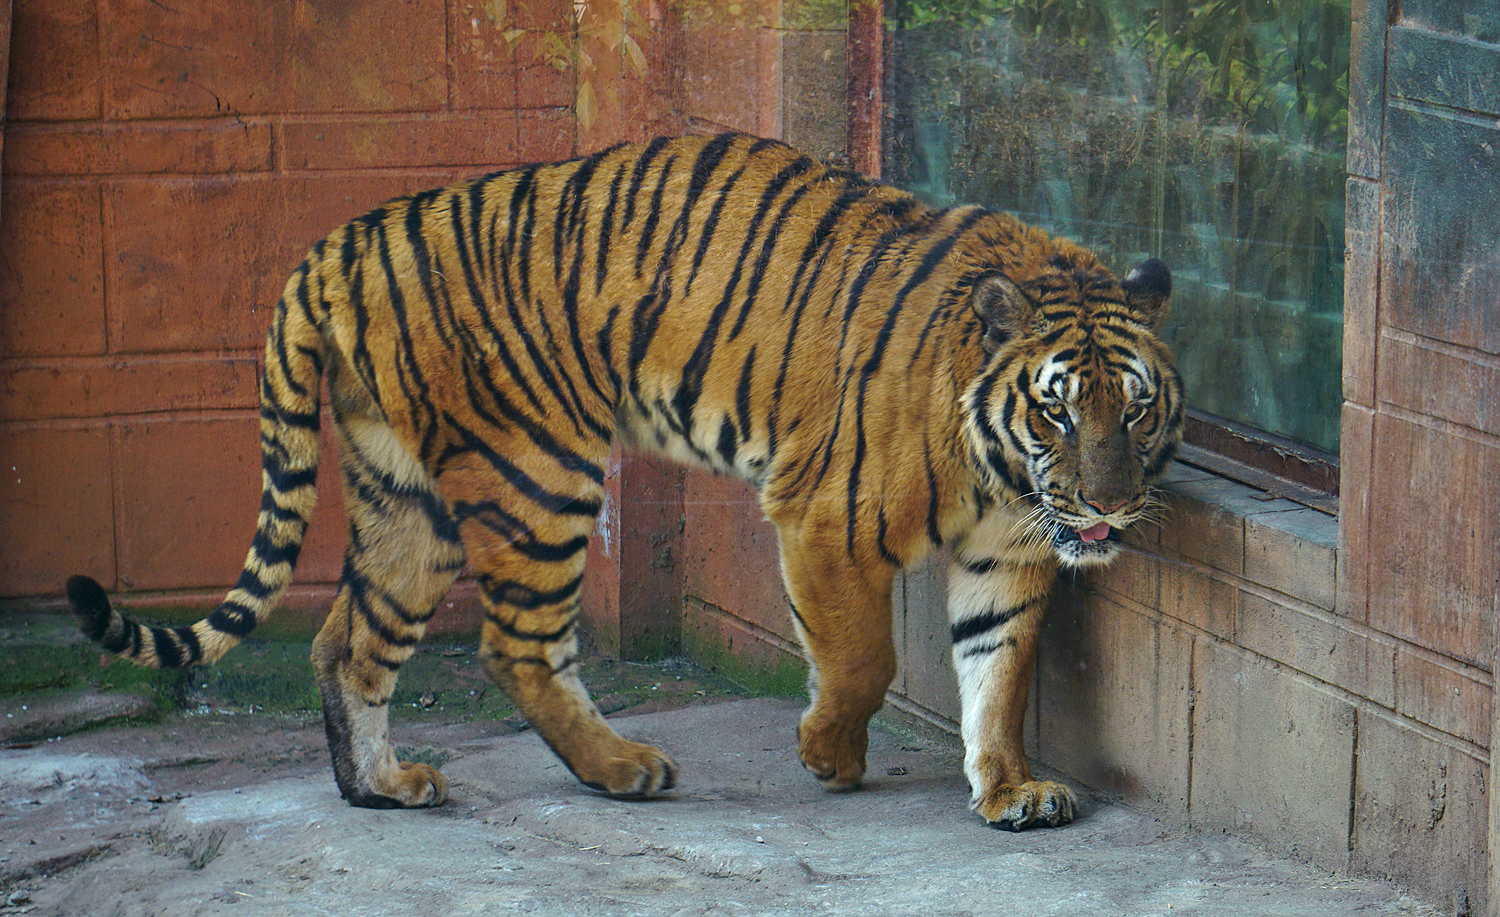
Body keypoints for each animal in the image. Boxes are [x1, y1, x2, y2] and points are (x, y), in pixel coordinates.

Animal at [66, 132, 1181, 830]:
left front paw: (1011, 789)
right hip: (534, 472)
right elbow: (863, 657)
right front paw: (830, 752)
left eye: (1134, 409)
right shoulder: (824, 516)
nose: (1110, 505)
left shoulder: (1009, 552)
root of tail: (336, 247)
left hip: (405, 499)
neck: (1002, 472)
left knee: (350, 641)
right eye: (1056, 409)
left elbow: (999, 672)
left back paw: (381, 787)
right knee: (514, 644)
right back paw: (620, 768)